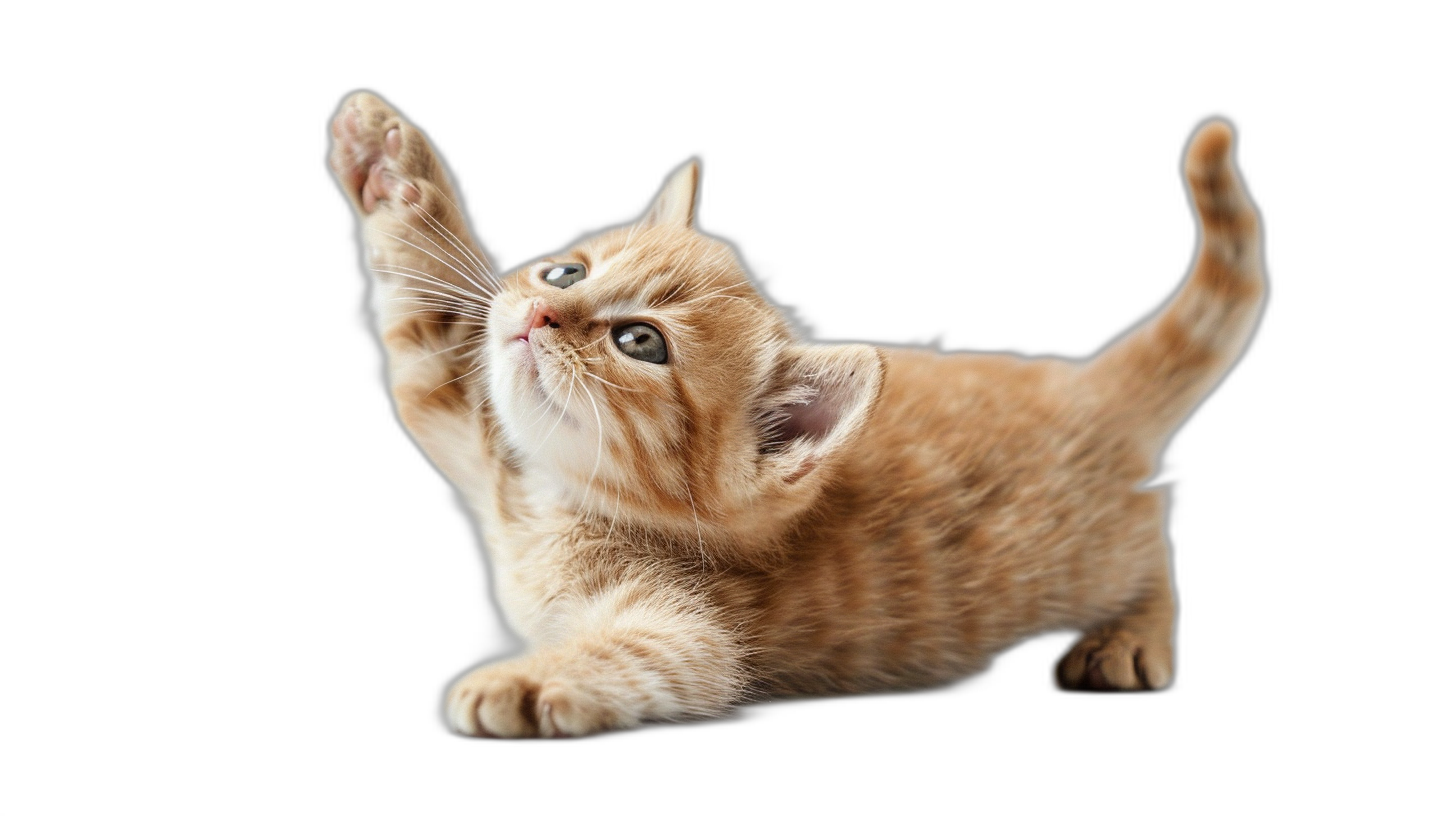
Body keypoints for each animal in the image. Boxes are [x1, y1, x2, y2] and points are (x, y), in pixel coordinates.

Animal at [327, 90, 1263, 740]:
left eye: (639, 341)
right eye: (566, 272)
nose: (540, 314)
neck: (546, 507)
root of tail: (1079, 384)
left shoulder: (691, 628)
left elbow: (641, 658)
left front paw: (518, 682)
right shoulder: (472, 426)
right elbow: (427, 319)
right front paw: (383, 155)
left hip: (1092, 554)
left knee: (1151, 531)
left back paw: (1130, 636)